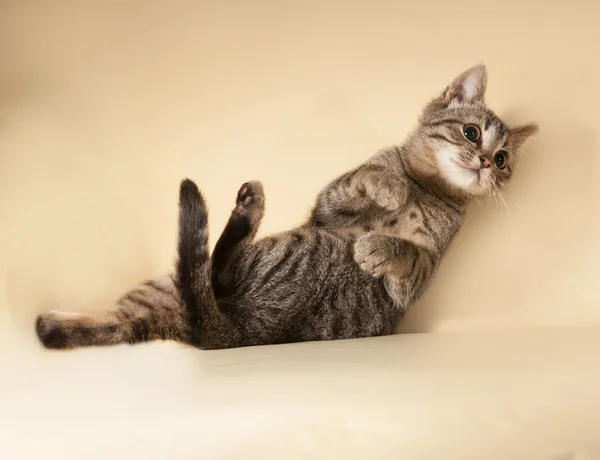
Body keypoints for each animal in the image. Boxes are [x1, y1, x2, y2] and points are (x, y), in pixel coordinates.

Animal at [35, 64, 536, 350]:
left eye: (503, 160)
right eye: (471, 132)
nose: (486, 163)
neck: (428, 188)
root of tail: (229, 330)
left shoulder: (416, 278)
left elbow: (407, 252)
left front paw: (378, 246)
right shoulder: (328, 209)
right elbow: (364, 176)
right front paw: (388, 184)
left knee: (201, 279)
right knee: (159, 304)